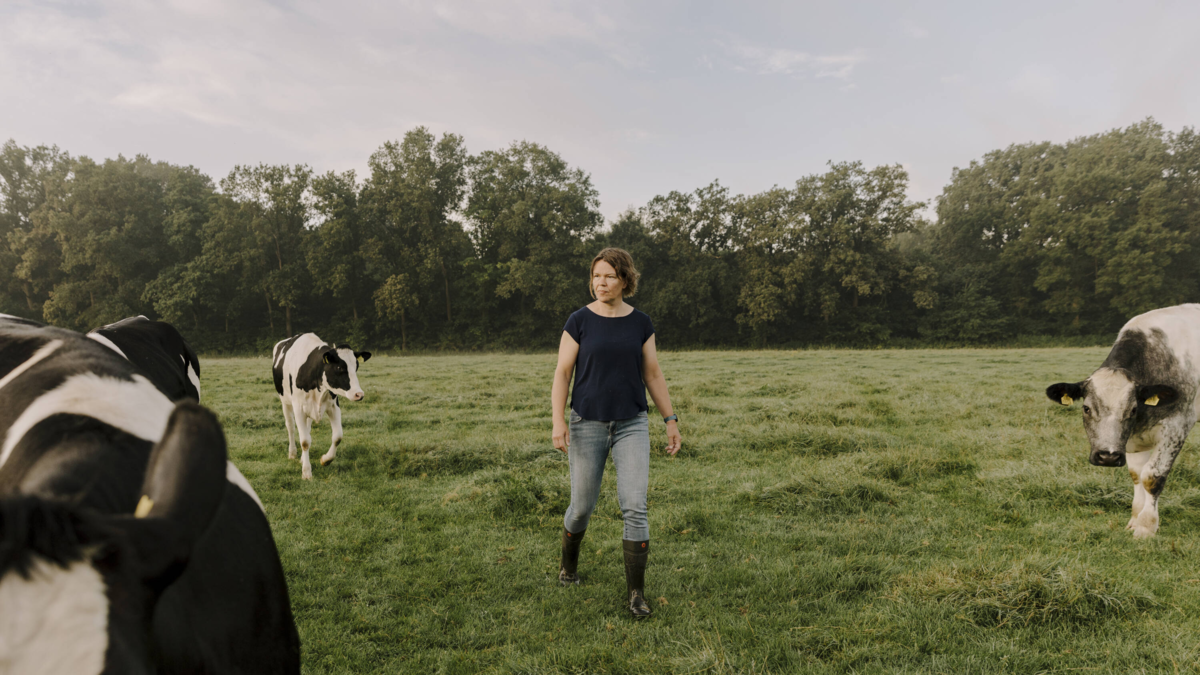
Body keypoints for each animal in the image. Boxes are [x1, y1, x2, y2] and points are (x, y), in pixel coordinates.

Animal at [272, 333, 370, 480]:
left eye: (356, 366)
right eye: (339, 368)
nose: (359, 394)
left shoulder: (334, 406)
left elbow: (337, 437)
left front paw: (325, 460)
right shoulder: (298, 408)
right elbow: (304, 441)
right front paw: (306, 472)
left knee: (307, 429)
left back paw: (302, 458)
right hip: (285, 401)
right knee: (290, 427)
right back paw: (293, 453)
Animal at [1046, 303, 1200, 538]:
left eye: (1133, 408)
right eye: (1086, 408)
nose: (1107, 456)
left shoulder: (1177, 426)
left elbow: (1152, 476)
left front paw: (1146, 526)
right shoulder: (1132, 440)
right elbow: (1137, 475)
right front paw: (1135, 520)